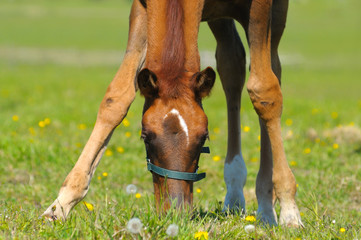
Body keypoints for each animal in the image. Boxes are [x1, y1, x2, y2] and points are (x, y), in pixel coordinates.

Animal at [41, 0, 300, 227]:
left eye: (204, 138)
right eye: (145, 137)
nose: (175, 213)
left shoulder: (261, 8)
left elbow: (264, 91)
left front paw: (288, 209)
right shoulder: (141, 7)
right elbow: (117, 97)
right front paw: (60, 205)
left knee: (271, 69)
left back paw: (266, 205)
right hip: (220, 18)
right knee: (231, 63)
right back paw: (235, 193)